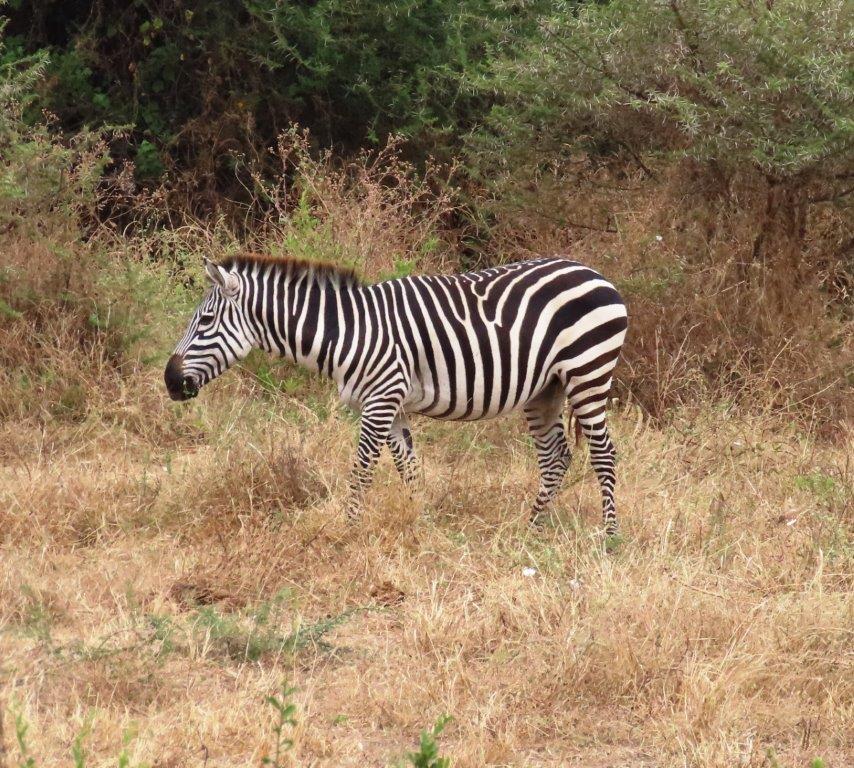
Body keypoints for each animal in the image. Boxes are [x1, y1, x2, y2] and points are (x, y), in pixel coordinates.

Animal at [165, 255, 628, 533]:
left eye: (204, 321)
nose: (170, 382)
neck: (346, 332)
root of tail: (595, 274)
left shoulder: (380, 399)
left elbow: (361, 471)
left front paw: (348, 531)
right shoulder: (394, 405)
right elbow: (410, 469)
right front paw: (422, 523)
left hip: (588, 372)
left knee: (604, 453)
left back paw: (608, 536)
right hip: (545, 389)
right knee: (556, 456)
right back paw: (530, 528)